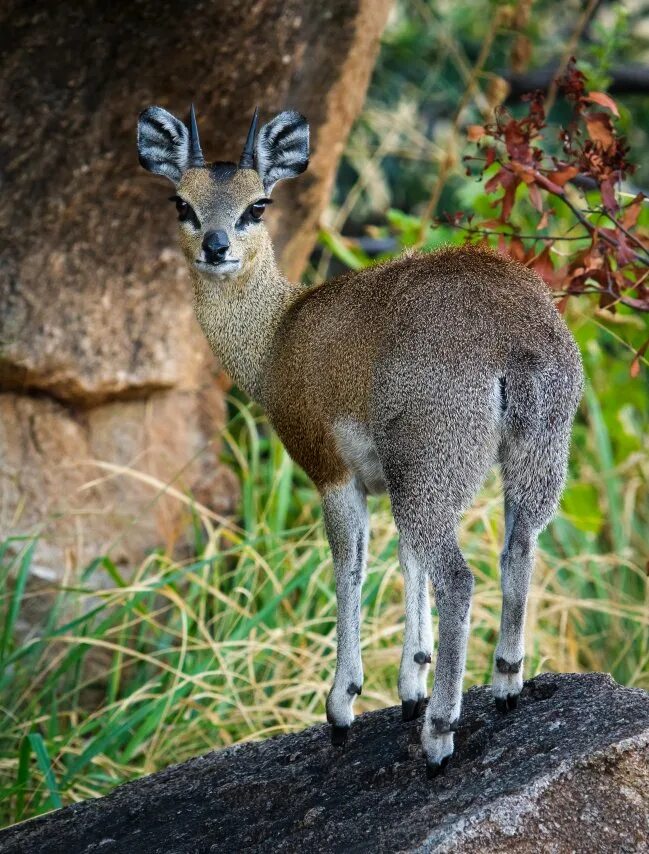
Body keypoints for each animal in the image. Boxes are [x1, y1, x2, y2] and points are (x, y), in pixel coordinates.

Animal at [137, 105, 584, 776]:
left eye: (257, 205)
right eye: (181, 202)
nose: (216, 247)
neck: (278, 337)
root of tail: (514, 338)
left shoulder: (333, 474)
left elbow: (349, 568)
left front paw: (343, 705)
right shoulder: (389, 482)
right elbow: (405, 563)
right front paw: (410, 684)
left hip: (435, 470)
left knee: (460, 578)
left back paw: (440, 736)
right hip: (524, 463)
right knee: (516, 549)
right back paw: (505, 684)